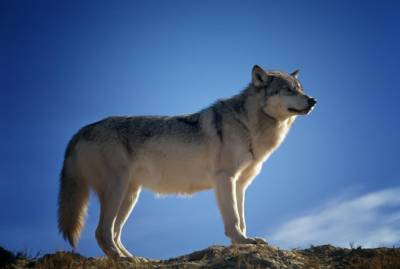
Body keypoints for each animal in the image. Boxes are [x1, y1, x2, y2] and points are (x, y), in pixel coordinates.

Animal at [57, 65, 318, 258]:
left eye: (300, 89)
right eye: (287, 90)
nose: (313, 100)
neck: (248, 125)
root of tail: (80, 131)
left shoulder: (241, 184)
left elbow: (242, 219)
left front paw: (245, 241)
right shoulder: (225, 179)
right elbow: (233, 219)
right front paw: (242, 241)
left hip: (130, 196)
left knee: (114, 233)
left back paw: (134, 259)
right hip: (117, 191)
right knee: (102, 232)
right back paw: (122, 260)